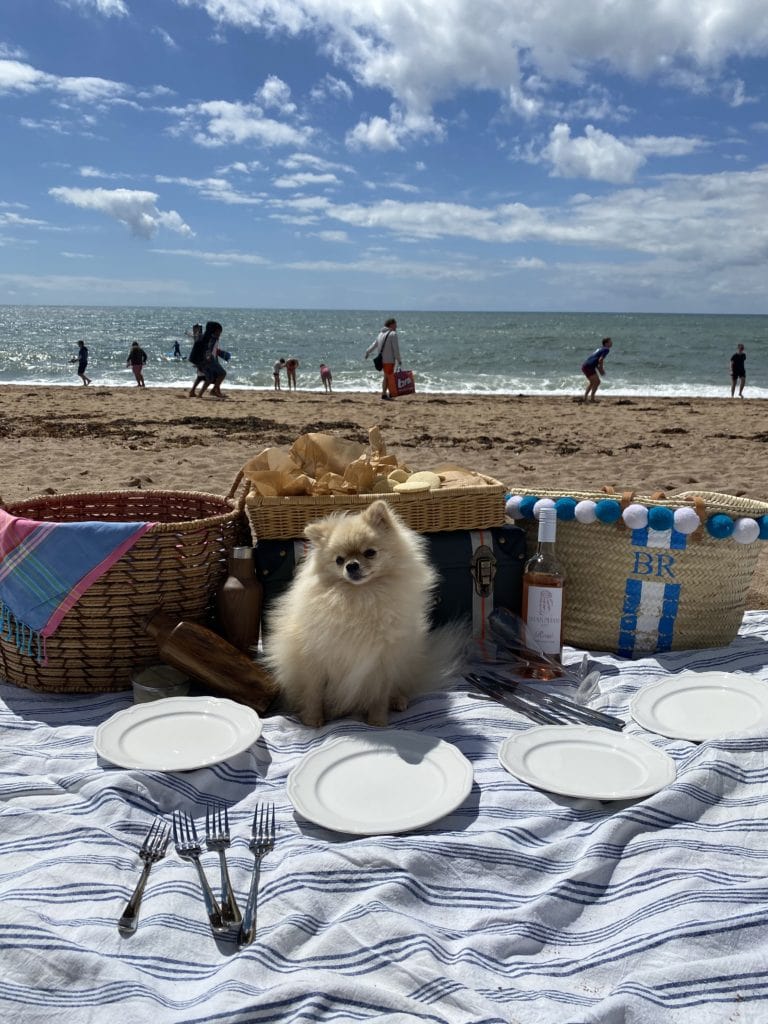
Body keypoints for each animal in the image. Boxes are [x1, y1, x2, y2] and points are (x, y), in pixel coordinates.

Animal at [264, 497, 466, 724]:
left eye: (370, 553)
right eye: (339, 560)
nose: (351, 565)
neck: (360, 597)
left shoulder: (382, 662)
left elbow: (379, 695)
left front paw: (377, 722)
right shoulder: (314, 663)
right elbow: (313, 696)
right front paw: (313, 722)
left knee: (400, 686)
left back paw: (398, 700)